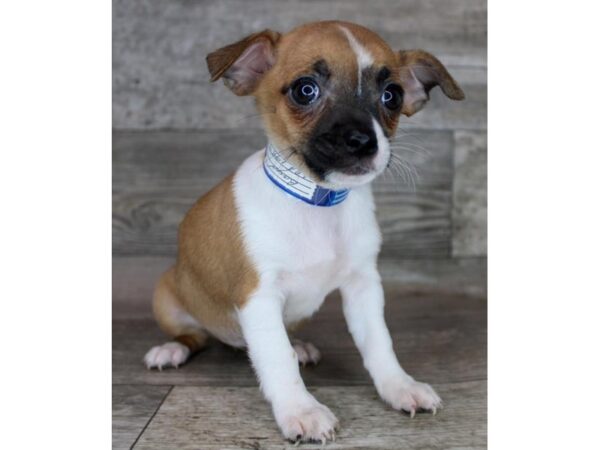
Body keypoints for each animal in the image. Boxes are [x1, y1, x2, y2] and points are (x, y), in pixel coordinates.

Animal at [145, 20, 464, 442]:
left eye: (392, 96)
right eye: (305, 90)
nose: (362, 141)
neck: (318, 203)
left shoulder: (364, 288)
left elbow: (379, 343)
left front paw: (399, 386)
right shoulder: (259, 297)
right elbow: (277, 360)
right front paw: (301, 410)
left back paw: (300, 347)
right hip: (168, 297)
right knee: (192, 336)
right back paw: (171, 350)